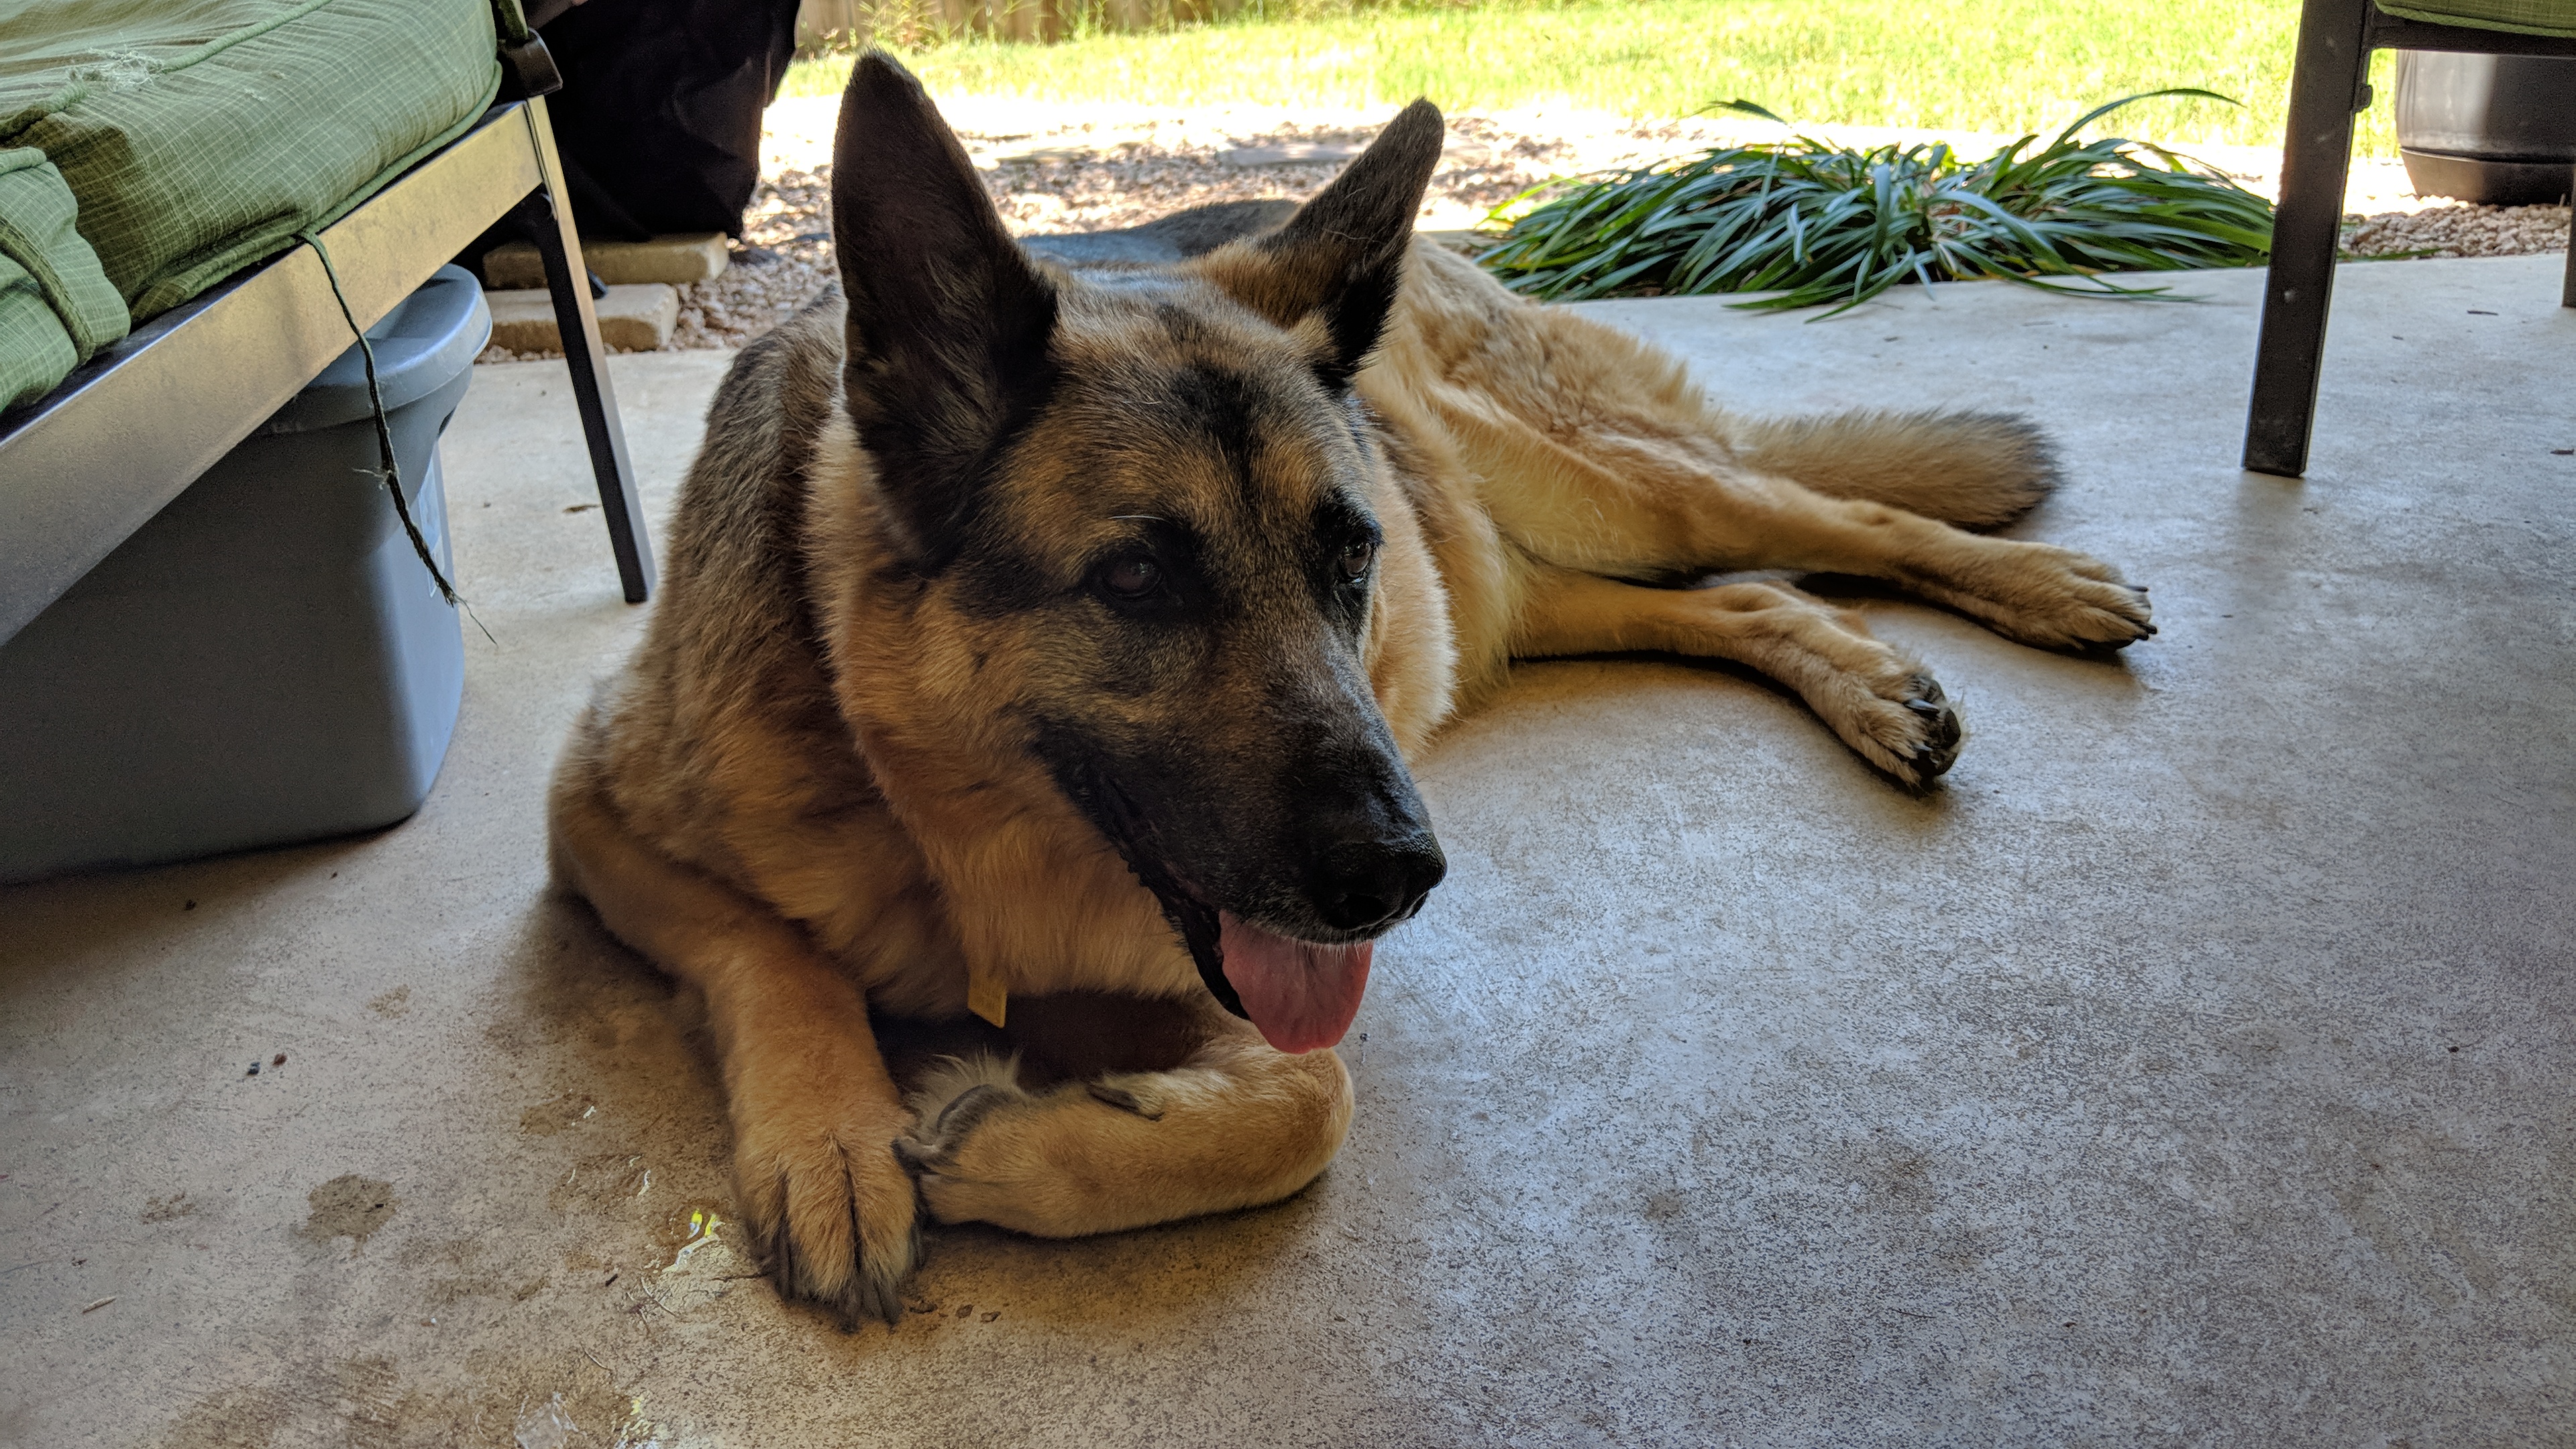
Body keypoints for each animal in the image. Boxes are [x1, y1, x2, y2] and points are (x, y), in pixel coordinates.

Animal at [547, 52, 2153, 1326]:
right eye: (1139, 580)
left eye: (1342, 552)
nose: (1402, 878)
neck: (932, 808)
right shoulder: (589, 819)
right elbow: (774, 952)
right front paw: (833, 1141)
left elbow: (1310, 1103)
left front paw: (998, 1143)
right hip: (1515, 594)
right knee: (1747, 599)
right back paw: (1878, 682)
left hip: (1599, 498)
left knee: (1833, 523)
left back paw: (2038, 591)